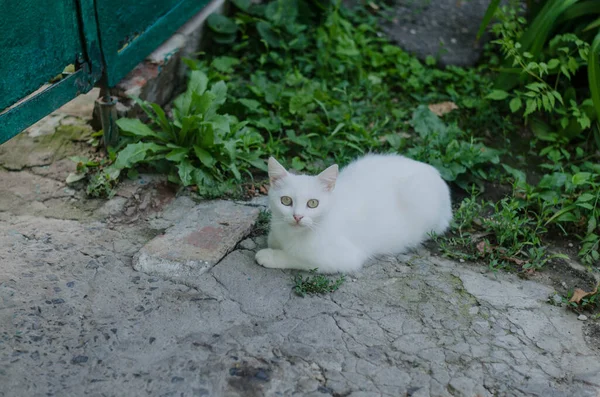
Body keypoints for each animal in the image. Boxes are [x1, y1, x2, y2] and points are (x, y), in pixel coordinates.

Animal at [255, 154, 452, 272]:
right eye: (286, 200)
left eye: (313, 203)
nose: (297, 216)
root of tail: (435, 172)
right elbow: (273, 239)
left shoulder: (343, 258)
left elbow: (300, 259)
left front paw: (270, 256)